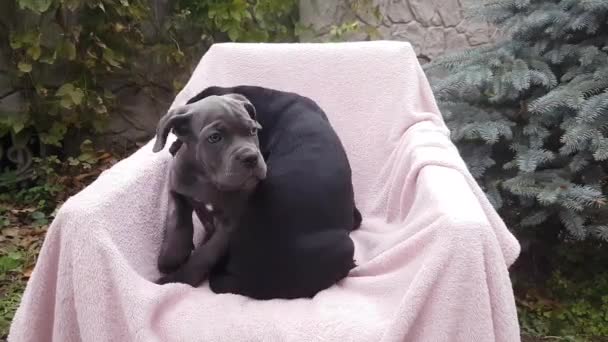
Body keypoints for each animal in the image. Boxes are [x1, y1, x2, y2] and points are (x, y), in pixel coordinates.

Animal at [151, 93, 266, 286]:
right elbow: (177, 221)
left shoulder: (230, 224)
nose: (250, 157)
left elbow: (204, 256)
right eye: (214, 138)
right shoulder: (176, 190)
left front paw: (174, 280)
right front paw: (171, 257)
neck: (206, 177)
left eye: (252, 130)